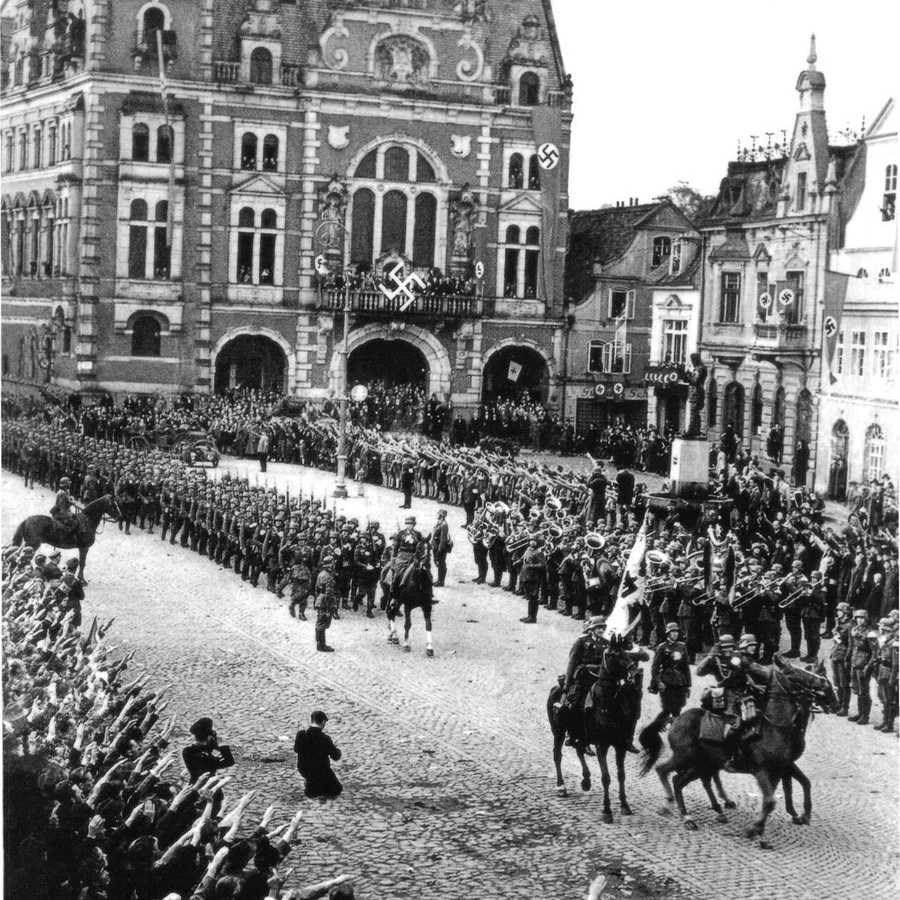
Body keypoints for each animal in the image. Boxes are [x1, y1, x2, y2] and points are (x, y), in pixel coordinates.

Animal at [544, 640, 644, 824]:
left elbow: (621, 775)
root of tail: (556, 688)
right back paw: (561, 786)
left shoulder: (620, 746)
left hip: (579, 734)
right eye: (616, 655)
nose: (636, 674)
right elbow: (606, 778)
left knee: (579, 750)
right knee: (557, 755)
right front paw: (607, 811)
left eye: (627, 653)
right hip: (558, 732)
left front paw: (625, 805)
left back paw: (586, 780)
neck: (607, 705)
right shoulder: (601, 746)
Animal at [640, 656, 836, 848]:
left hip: (702, 763)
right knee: (664, 771)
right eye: (793, 673)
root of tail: (676, 719)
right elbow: (772, 800)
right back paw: (676, 808)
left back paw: (706, 811)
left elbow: (781, 794)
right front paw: (757, 829)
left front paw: (766, 829)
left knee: (685, 780)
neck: (777, 727)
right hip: (684, 758)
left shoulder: (780, 769)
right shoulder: (763, 770)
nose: (826, 686)